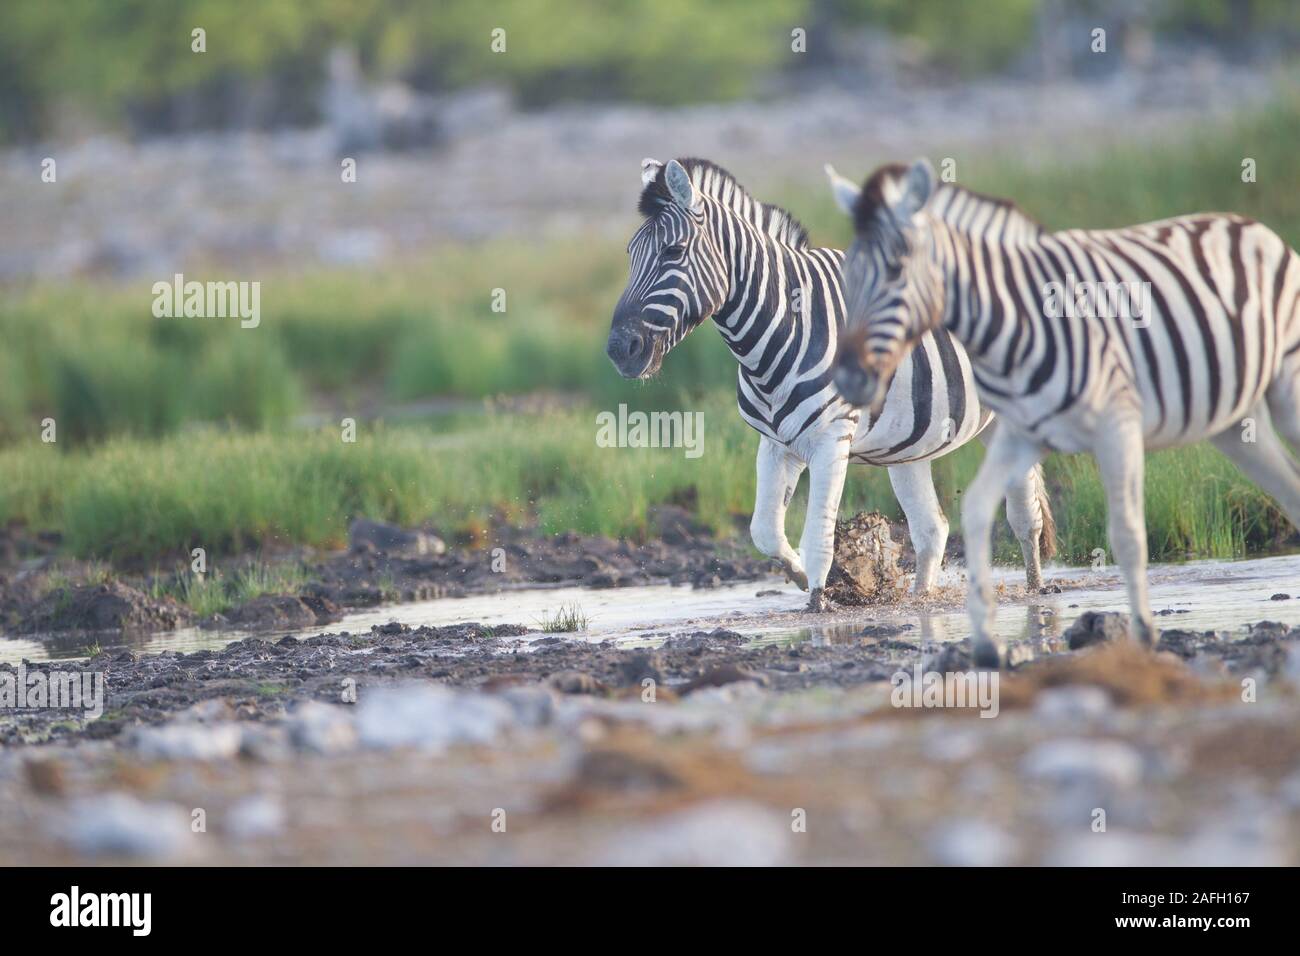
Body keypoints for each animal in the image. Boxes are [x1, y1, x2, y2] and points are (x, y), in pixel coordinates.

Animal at [603, 155, 1050, 606]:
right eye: (628, 254)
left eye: (673, 251)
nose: (619, 349)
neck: (777, 335)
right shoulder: (776, 443)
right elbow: (765, 531)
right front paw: (803, 578)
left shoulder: (831, 439)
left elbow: (818, 538)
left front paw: (819, 600)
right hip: (910, 442)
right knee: (932, 528)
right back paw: (921, 598)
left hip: (1009, 416)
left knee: (1024, 512)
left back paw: (1036, 588)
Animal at [826, 158, 1300, 665]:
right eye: (848, 276)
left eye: (896, 270)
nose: (850, 377)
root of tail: (1248, 224)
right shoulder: (1021, 433)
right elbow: (978, 511)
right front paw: (986, 640)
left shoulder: (1117, 427)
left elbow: (1127, 534)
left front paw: (1143, 636)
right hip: (1237, 422)